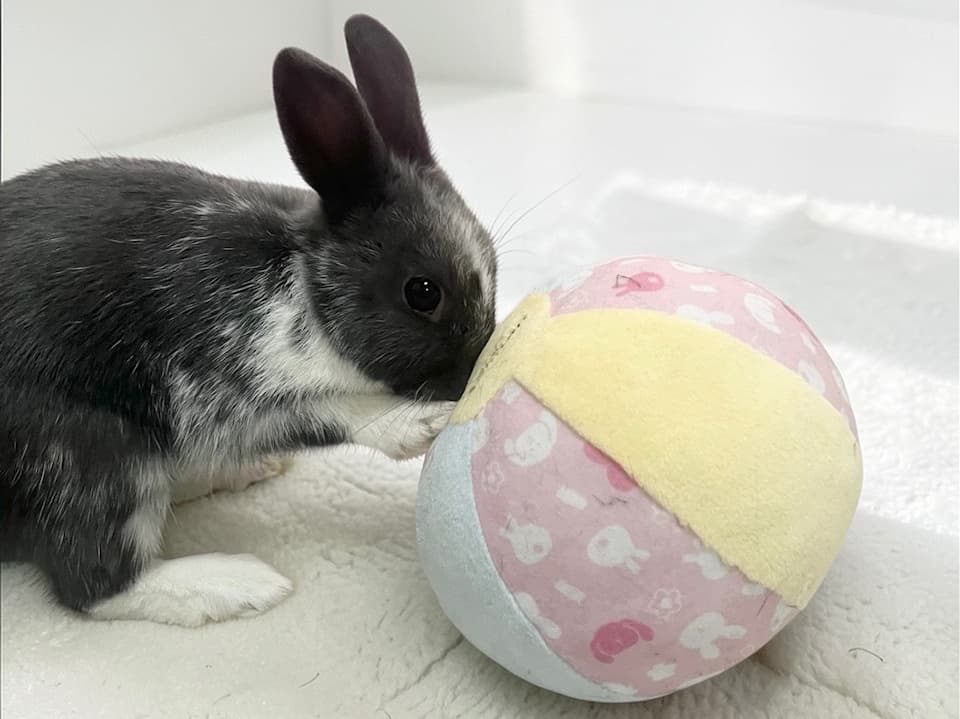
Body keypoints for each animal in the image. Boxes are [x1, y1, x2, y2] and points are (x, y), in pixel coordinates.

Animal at [0, 14, 497, 626]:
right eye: (422, 292)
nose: (472, 376)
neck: (305, 283)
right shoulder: (219, 389)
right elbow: (328, 411)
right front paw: (419, 424)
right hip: (90, 454)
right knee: (94, 584)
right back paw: (237, 583)